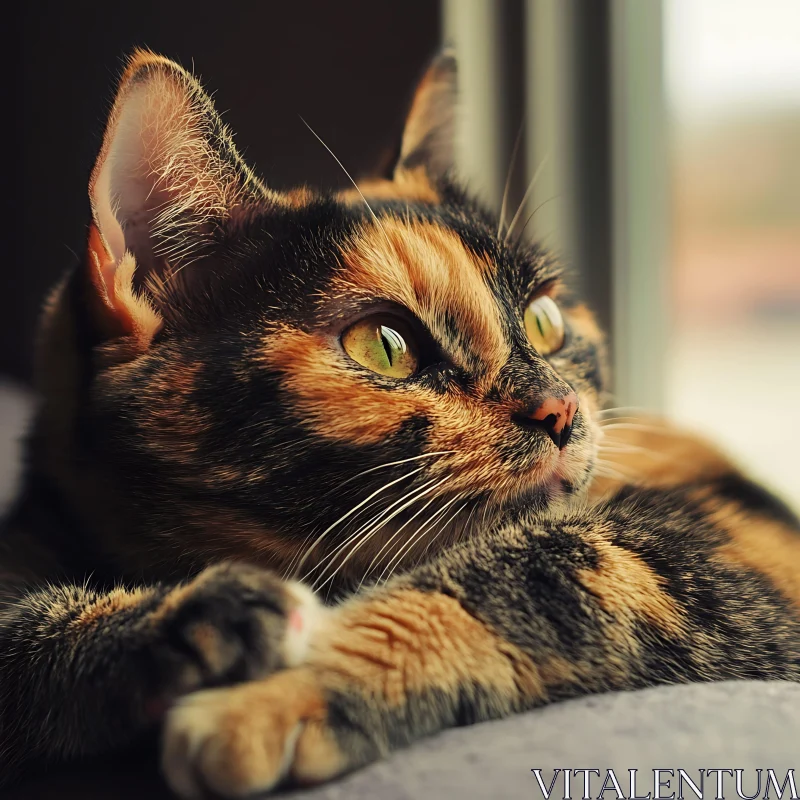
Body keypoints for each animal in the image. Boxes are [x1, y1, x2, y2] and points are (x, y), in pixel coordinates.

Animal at [1, 51, 800, 800]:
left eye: (544, 320)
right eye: (385, 346)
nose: (561, 409)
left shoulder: (746, 539)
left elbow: (553, 565)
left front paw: (274, 696)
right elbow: (24, 636)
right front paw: (198, 622)